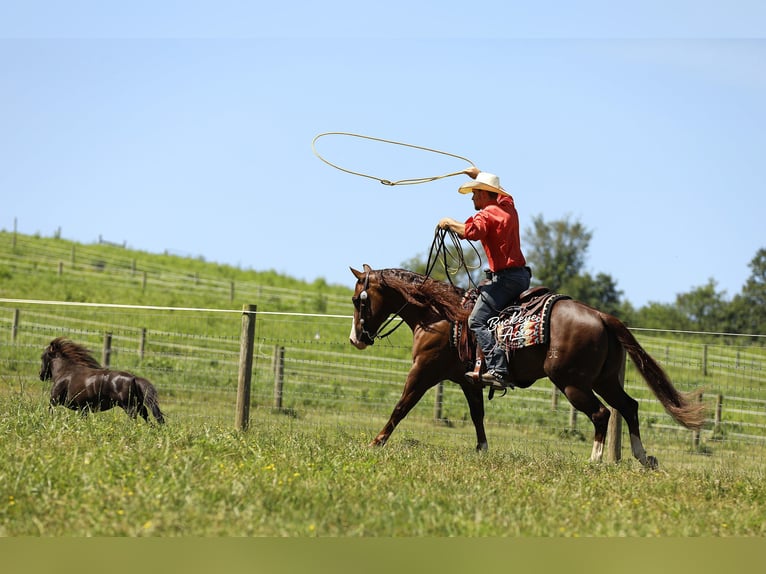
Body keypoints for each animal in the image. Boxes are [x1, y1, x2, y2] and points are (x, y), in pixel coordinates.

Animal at [348, 264, 705, 468]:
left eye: (358, 300)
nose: (356, 339)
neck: (438, 314)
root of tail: (601, 316)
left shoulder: (423, 371)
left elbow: (401, 407)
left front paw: (376, 442)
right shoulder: (468, 380)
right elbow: (477, 415)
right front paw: (482, 449)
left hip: (572, 383)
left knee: (602, 414)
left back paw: (595, 460)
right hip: (604, 380)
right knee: (629, 407)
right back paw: (643, 457)